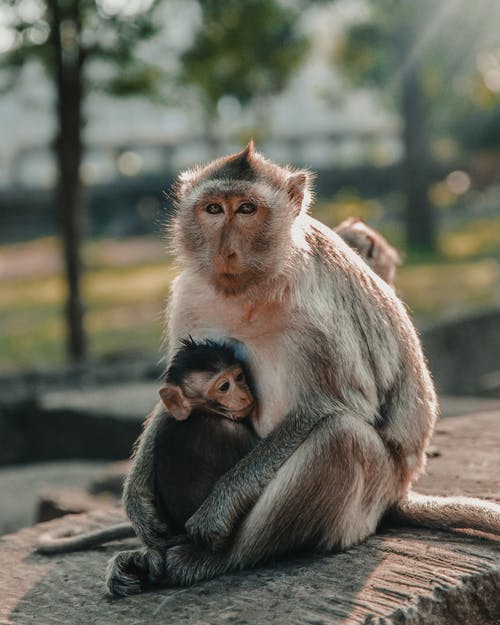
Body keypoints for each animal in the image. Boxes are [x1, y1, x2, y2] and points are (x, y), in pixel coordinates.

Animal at [106, 143, 500, 596]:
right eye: (213, 209)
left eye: (247, 209)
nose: (225, 251)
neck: (250, 286)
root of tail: (400, 490)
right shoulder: (189, 293)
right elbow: (175, 397)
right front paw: (137, 503)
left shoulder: (316, 309)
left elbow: (336, 404)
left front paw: (217, 511)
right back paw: (149, 558)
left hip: (372, 494)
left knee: (340, 438)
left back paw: (211, 559)